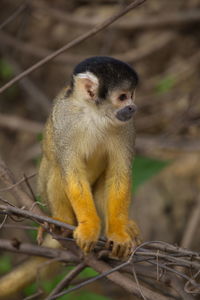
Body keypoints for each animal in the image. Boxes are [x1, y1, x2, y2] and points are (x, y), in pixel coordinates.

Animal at [38, 56, 140, 258]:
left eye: (131, 95)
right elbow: (72, 174)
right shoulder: (66, 122)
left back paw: (121, 227)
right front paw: (88, 227)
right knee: (56, 167)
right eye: (122, 97)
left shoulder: (127, 126)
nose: (132, 107)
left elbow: (119, 175)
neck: (95, 114)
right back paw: (63, 223)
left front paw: (118, 233)